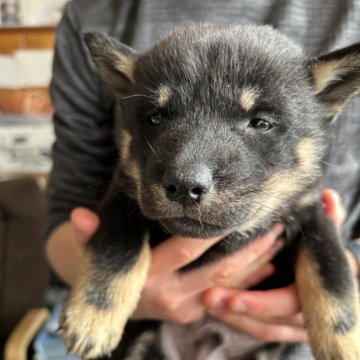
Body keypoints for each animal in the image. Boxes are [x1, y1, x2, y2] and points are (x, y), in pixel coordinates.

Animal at [59, 23, 360, 358]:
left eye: (261, 123)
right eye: (155, 117)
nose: (184, 185)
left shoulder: (309, 210)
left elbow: (331, 268)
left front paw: (345, 340)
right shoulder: (124, 195)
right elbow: (116, 246)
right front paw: (93, 314)